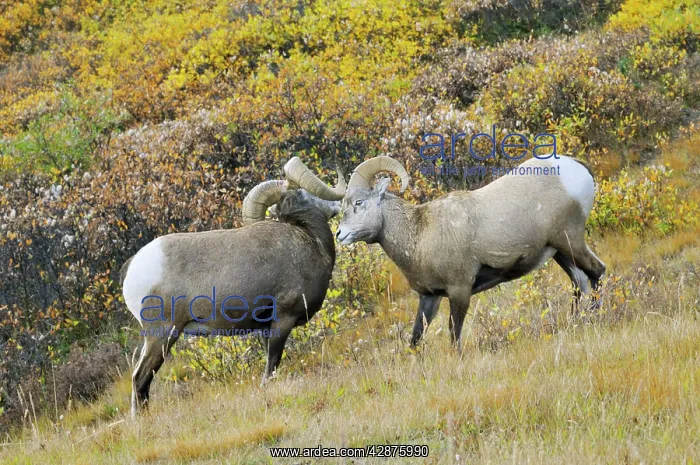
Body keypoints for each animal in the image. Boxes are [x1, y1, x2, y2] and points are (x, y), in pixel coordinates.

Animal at [121, 157, 346, 416]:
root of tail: (132, 269)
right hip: (163, 335)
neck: (310, 241)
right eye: (308, 194)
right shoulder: (283, 320)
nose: (336, 206)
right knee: (140, 378)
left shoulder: (265, 327)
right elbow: (271, 365)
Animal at [335, 155, 606, 348]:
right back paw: (576, 323)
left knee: (597, 271)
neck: (419, 234)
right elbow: (416, 338)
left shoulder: (459, 292)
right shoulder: (429, 298)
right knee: (580, 282)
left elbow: (454, 336)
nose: (339, 234)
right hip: (560, 251)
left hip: (570, 241)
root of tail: (577, 167)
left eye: (359, 203)